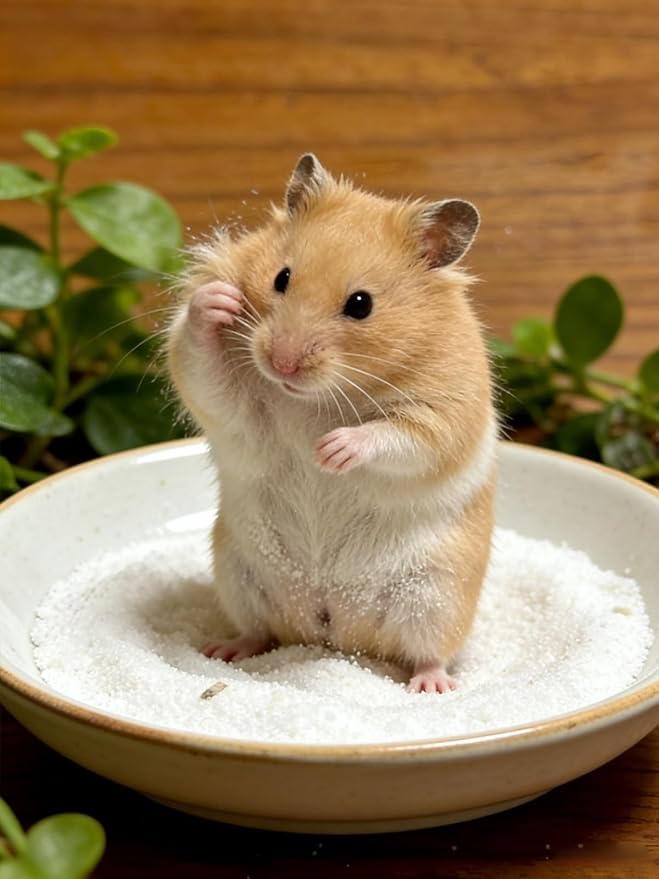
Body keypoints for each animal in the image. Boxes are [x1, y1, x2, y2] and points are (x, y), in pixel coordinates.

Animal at [167, 154, 496, 693]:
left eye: (361, 304)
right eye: (281, 278)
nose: (280, 364)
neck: (314, 399)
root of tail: (335, 633)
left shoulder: (446, 412)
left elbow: (402, 436)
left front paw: (331, 450)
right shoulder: (240, 413)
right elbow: (206, 371)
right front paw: (215, 302)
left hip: (435, 594)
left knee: (427, 651)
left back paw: (431, 687)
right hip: (239, 575)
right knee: (261, 632)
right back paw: (224, 652)